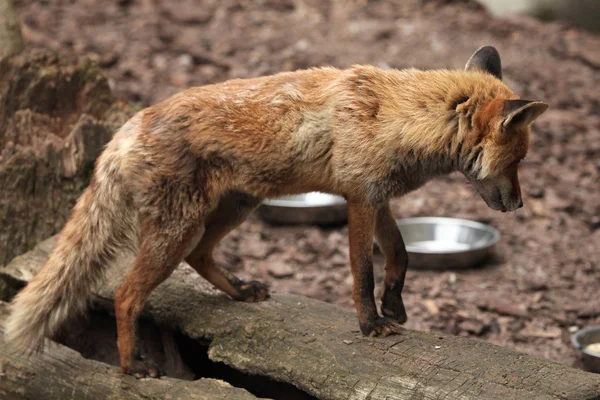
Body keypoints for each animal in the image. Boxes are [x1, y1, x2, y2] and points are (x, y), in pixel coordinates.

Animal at [5, 45, 548, 376]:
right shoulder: (358, 200)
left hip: (233, 210)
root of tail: (130, 124)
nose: (520, 203)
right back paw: (132, 365)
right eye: (519, 160)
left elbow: (400, 255)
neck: (396, 117)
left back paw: (240, 291)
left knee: (200, 258)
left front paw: (395, 305)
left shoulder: (378, 196)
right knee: (125, 295)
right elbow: (362, 272)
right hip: (178, 230)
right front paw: (371, 324)